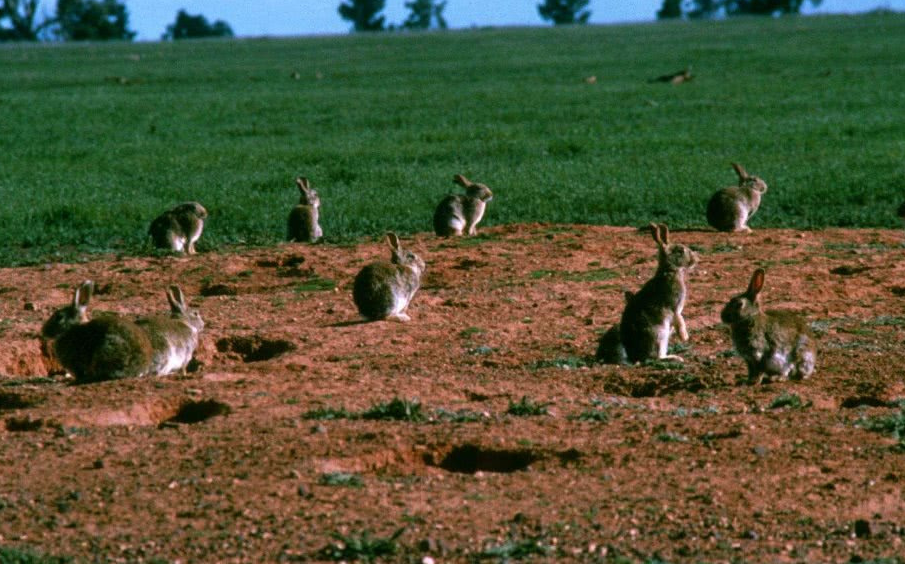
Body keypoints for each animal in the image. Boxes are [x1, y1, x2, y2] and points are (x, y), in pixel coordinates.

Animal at [616, 223, 696, 364]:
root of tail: (636, 357)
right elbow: (680, 319)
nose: (695, 259)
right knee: (657, 357)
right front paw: (684, 337)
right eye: (680, 251)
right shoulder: (674, 306)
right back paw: (676, 358)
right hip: (660, 334)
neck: (669, 270)